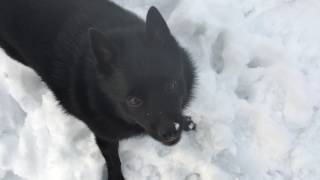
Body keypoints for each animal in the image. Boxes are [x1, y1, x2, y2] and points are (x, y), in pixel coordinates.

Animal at [0, 0, 196, 179]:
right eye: (134, 101)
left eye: (171, 85)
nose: (171, 131)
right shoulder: (104, 136)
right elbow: (112, 159)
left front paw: (186, 122)